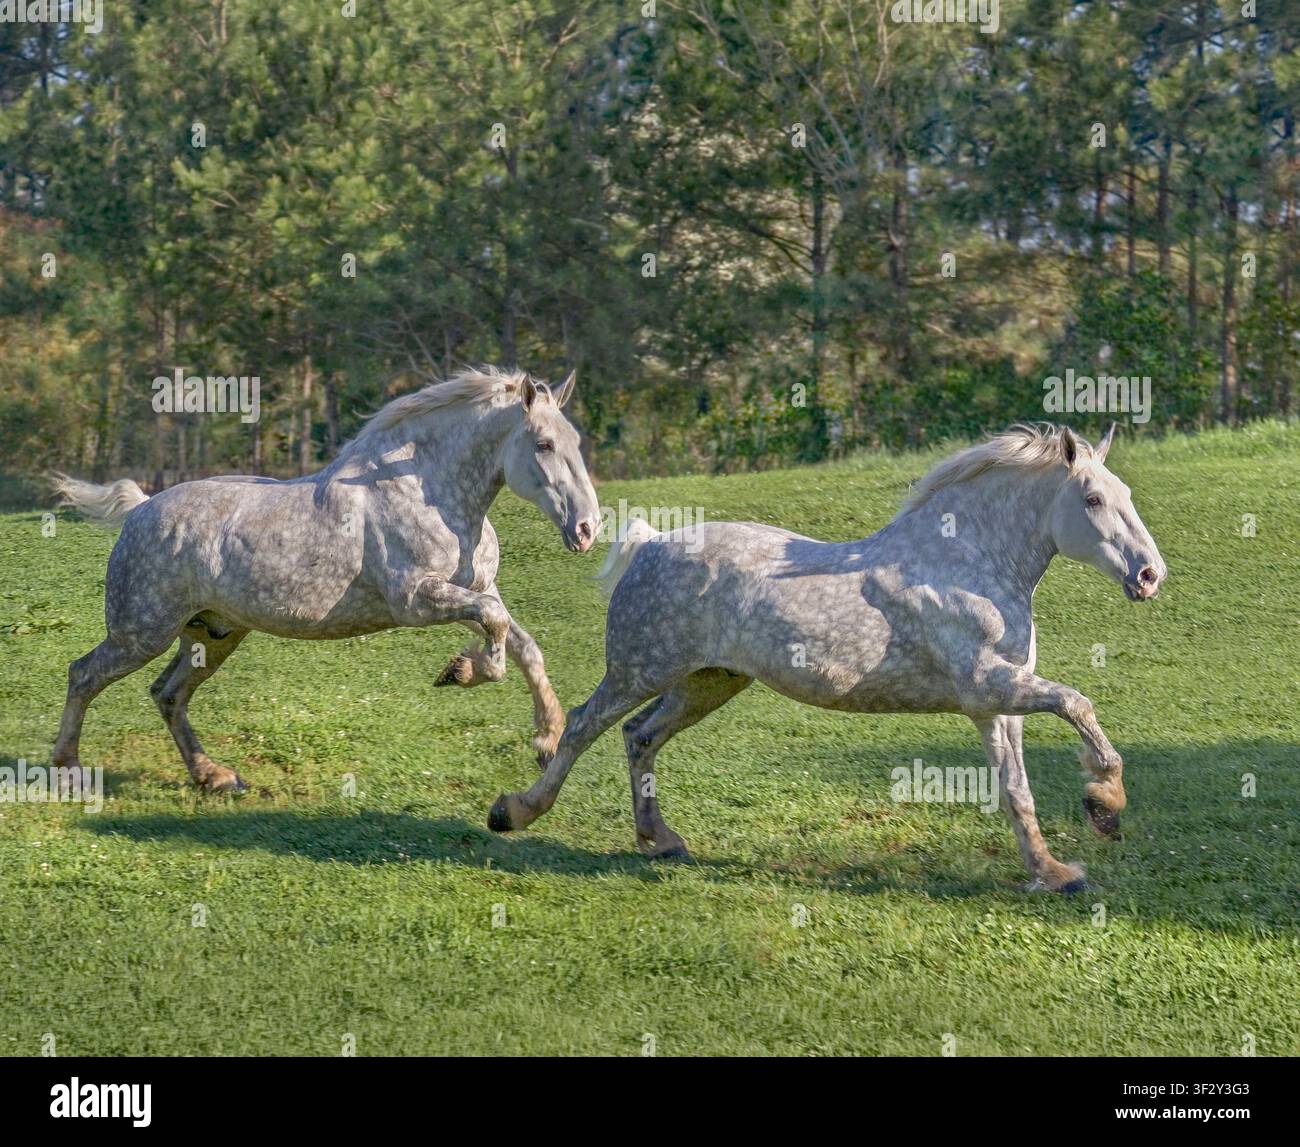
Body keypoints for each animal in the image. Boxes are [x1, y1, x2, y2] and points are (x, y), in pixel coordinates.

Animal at [51, 366, 600, 794]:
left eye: (575, 442)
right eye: (544, 444)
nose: (587, 528)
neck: (427, 491)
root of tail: (141, 509)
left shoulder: (473, 591)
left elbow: (521, 642)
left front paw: (547, 739)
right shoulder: (417, 601)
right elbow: (497, 631)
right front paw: (462, 671)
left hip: (213, 635)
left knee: (168, 695)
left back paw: (215, 777)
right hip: (142, 633)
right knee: (83, 674)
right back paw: (69, 771)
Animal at [487, 423, 1167, 893]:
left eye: (1126, 493)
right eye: (1092, 500)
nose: (1149, 575)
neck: (964, 565)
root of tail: (650, 544)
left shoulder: (997, 704)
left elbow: (1016, 790)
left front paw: (1052, 871)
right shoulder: (988, 685)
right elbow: (1078, 704)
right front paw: (1105, 804)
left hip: (708, 681)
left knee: (639, 735)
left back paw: (661, 840)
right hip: (640, 670)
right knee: (583, 726)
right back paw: (514, 812)